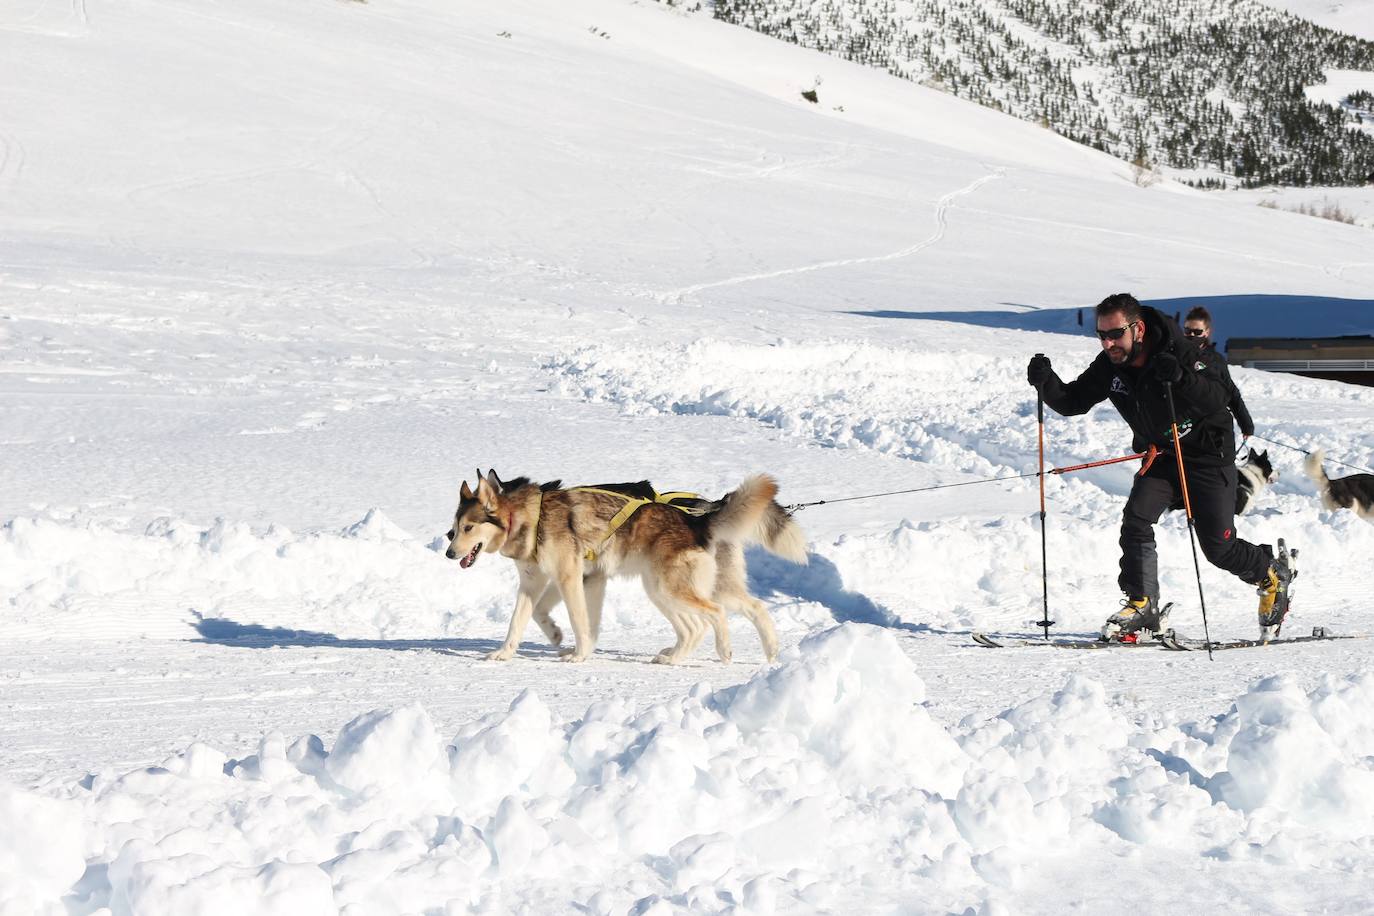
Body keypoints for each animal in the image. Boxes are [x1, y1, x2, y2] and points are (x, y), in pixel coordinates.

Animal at [445, 472, 802, 667]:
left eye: (468, 527)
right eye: (455, 527)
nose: (449, 551)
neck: (530, 518)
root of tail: (699, 519)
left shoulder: (570, 577)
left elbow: (579, 621)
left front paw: (578, 654)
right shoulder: (550, 582)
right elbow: (523, 620)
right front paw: (506, 652)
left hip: (672, 588)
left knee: (713, 615)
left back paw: (723, 650)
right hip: (663, 589)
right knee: (724, 617)